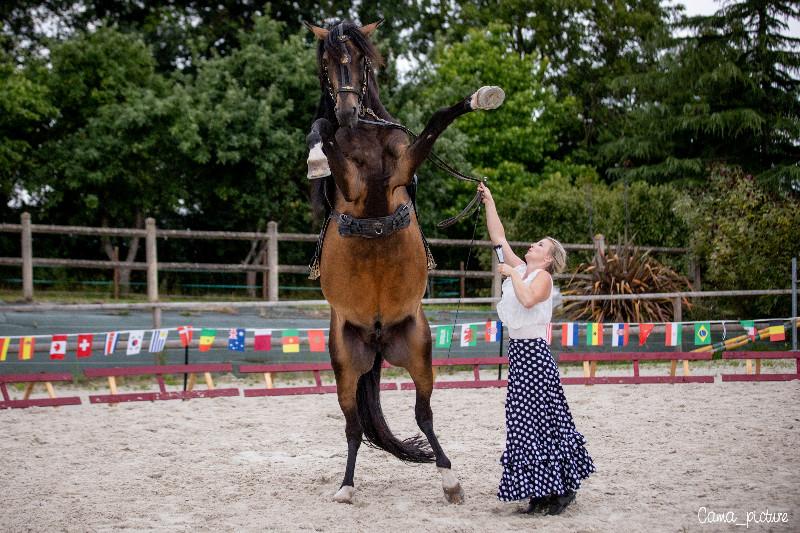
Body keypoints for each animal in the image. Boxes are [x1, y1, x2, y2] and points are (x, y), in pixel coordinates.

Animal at [304, 19, 504, 502]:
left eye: (362, 58)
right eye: (326, 60)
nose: (348, 112)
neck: (364, 135)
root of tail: (378, 338)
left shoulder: (400, 168)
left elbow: (435, 122)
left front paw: (482, 96)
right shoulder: (352, 184)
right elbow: (321, 129)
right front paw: (316, 155)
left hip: (419, 352)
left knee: (423, 414)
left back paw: (449, 478)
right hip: (345, 364)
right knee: (354, 427)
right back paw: (346, 486)